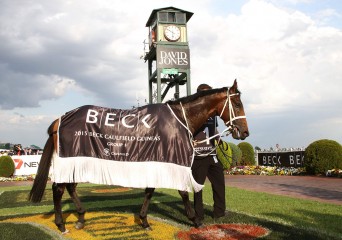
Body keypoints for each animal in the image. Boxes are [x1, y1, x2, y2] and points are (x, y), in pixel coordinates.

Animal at [28, 79, 248, 233]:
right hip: (69, 157)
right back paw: (61, 224)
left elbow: (149, 191)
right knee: (58, 189)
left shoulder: (157, 159)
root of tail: (60, 119)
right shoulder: (174, 160)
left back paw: (81, 218)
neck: (179, 118)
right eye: (237, 103)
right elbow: (183, 192)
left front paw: (144, 220)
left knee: (70, 187)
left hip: (76, 159)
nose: (245, 132)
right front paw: (195, 220)